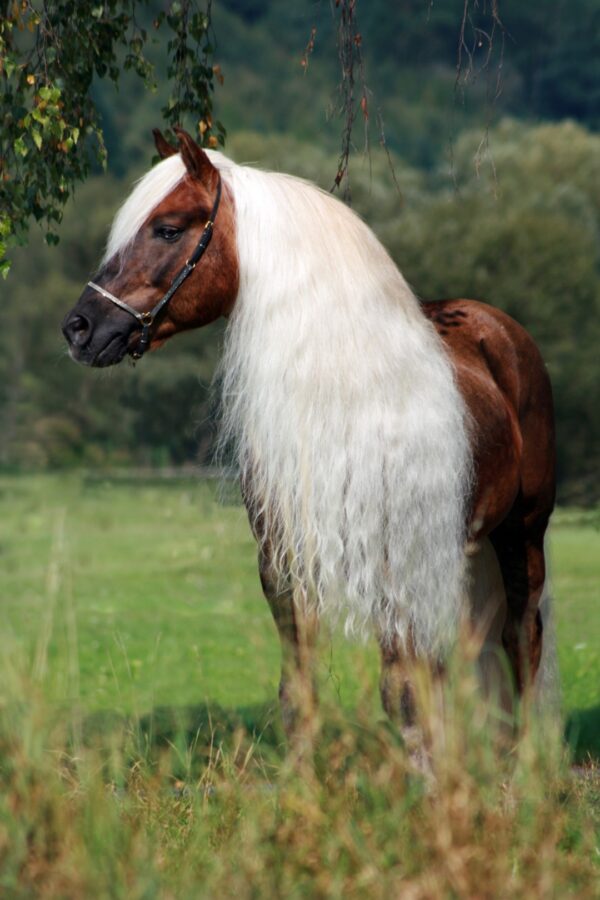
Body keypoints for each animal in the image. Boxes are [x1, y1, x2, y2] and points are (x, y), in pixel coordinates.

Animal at [62, 128, 556, 746]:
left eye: (168, 228)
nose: (78, 329)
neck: (341, 399)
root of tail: (501, 330)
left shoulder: (393, 564)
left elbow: (404, 695)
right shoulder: (284, 567)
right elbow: (300, 695)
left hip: (523, 532)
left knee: (522, 640)